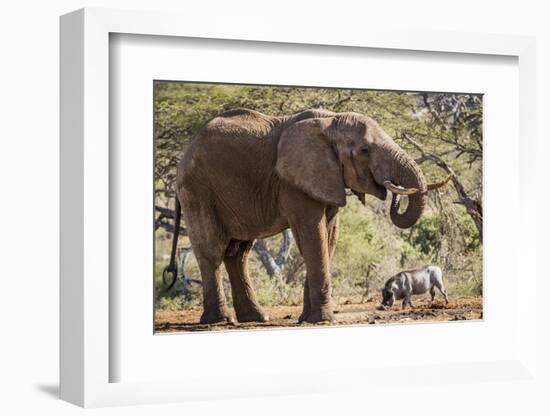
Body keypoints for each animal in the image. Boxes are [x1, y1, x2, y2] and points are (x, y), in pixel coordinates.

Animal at [167, 108, 448, 324]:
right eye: (365, 150)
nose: (391, 188)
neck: (331, 121)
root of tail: (184, 154)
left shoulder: (327, 177)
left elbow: (329, 236)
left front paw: (308, 319)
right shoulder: (292, 182)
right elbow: (312, 234)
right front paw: (323, 320)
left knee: (238, 253)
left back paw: (256, 318)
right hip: (197, 189)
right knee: (212, 249)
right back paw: (219, 321)